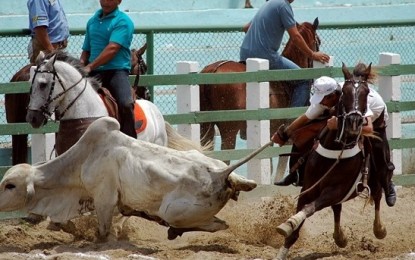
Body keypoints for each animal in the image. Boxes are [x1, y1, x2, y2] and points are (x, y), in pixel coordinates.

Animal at [0, 117, 270, 240]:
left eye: (9, 185)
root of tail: (220, 174)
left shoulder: (104, 199)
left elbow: (103, 231)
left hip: (173, 211)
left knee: (216, 225)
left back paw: (172, 230)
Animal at [274, 63, 388, 260]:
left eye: (366, 92)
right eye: (344, 92)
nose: (354, 122)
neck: (334, 151)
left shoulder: (336, 190)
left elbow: (309, 208)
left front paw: (290, 221)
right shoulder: (308, 188)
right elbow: (299, 219)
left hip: (374, 177)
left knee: (378, 196)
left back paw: (379, 229)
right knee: (337, 209)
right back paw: (339, 237)